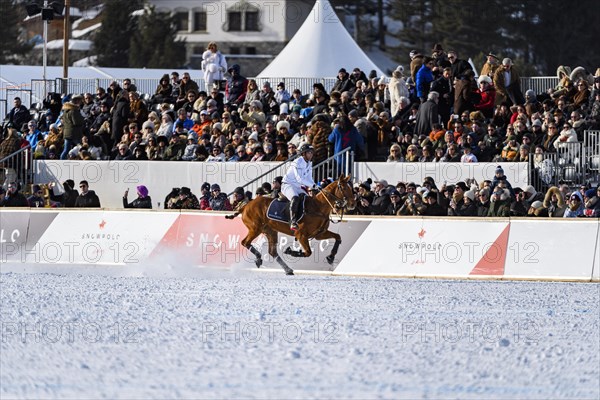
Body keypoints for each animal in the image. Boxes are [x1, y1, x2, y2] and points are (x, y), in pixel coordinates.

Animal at [225, 175, 356, 276]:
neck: (318, 207)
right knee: (245, 242)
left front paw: (331, 257)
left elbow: (338, 237)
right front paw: (290, 251)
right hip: (255, 228)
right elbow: (308, 252)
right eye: (344, 187)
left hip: (270, 231)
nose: (353, 204)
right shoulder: (301, 235)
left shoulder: (319, 234)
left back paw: (287, 269)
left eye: (351, 188)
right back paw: (258, 258)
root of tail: (245, 206)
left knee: (272, 252)